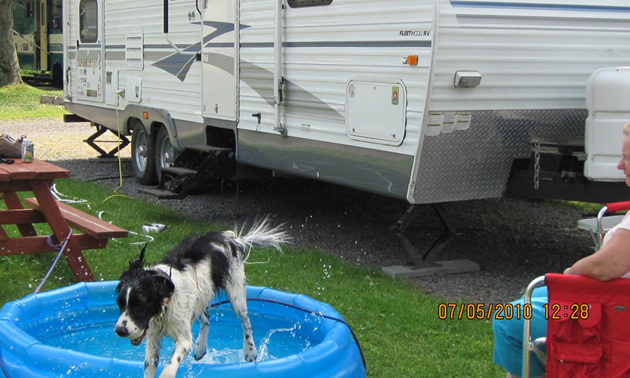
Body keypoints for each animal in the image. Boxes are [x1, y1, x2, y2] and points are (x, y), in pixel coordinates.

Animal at [115, 220, 288, 376]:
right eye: (120, 303)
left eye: (140, 304)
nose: (120, 330)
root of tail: (230, 239)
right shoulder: (153, 339)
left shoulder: (184, 339)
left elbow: (170, 367)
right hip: (201, 297)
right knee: (206, 317)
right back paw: (200, 348)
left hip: (236, 294)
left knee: (245, 321)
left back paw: (250, 352)